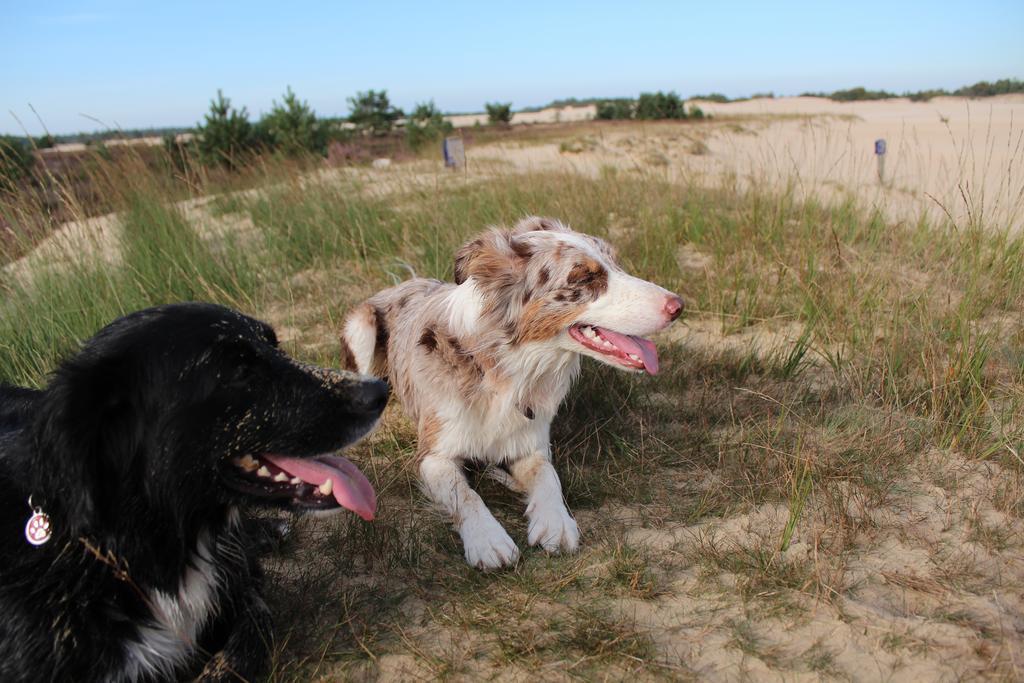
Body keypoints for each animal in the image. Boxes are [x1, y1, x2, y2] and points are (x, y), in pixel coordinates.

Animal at [339, 216, 684, 569]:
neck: (501, 371)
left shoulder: (530, 443)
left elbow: (548, 475)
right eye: (585, 277)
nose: (678, 306)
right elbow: (465, 494)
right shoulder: (433, 456)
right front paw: (487, 540)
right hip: (361, 327)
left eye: (616, 263)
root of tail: (405, 282)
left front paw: (556, 523)